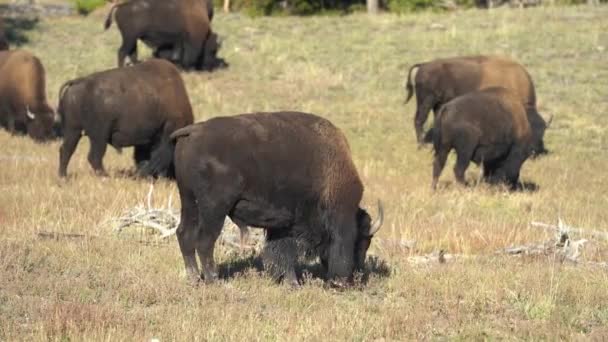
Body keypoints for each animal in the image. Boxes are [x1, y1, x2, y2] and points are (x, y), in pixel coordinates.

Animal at [57, 58, 192, 178]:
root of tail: (78, 81)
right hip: (98, 135)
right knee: (94, 156)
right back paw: (105, 176)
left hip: (73, 131)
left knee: (66, 150)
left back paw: (63, 177)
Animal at [169, 111, 382, 286]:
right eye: (361, 241)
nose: (357, 276)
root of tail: (193, 131)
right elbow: (286, 253)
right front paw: (294, 283)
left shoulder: (281, 225)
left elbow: (279, 252)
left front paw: (289, 282)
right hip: (214, 210)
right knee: (205, 241)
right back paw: (214, 280)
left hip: (189, 202)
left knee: (184, 234)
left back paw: (194, 279)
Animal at [404, 55, 552, 155]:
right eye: (530, 129)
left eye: (543, 131)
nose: (534, 151)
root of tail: (424, 65)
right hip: (426, 101)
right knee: (419, 120)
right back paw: (421, 146)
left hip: (438, 105)